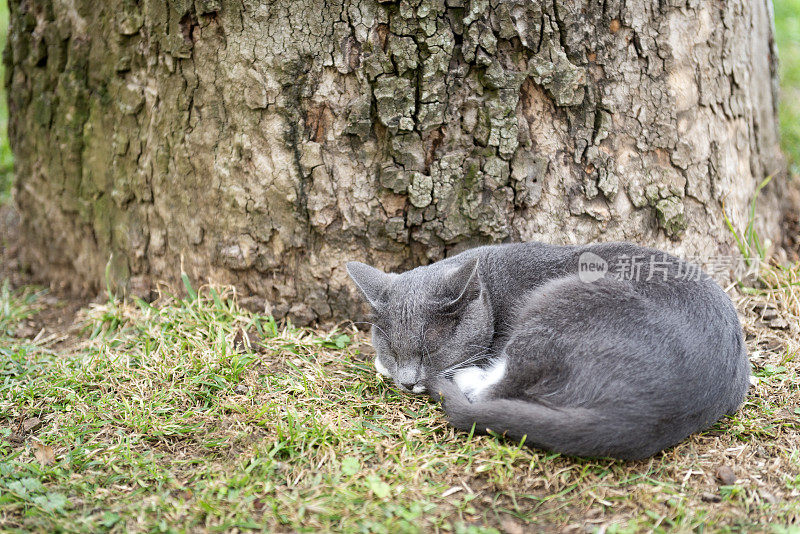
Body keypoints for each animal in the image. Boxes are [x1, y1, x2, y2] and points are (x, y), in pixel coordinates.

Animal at [346, 243, 752, 460]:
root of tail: (656, 413)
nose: (407, 381)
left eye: (430, 349)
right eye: (391, 348)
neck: (491, 291)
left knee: (498, 388)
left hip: (560, 305)